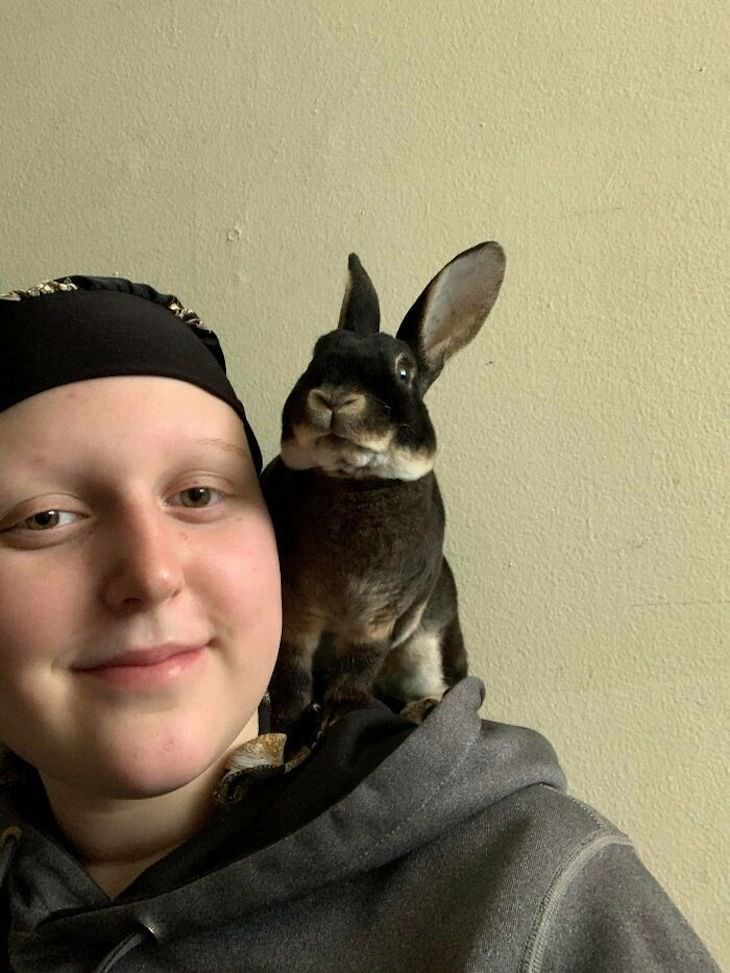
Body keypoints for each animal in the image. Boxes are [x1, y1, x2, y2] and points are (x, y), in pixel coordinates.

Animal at [262, 239, 506, 732]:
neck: (354, 481)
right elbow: (292, 669)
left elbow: (357, 667)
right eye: (317, 353)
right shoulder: (296, 615)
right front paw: (289, 720)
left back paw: (423, 709)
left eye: (404, 372)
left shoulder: (377, 622)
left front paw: (340, 714)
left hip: (427, 647)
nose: (334, 399)